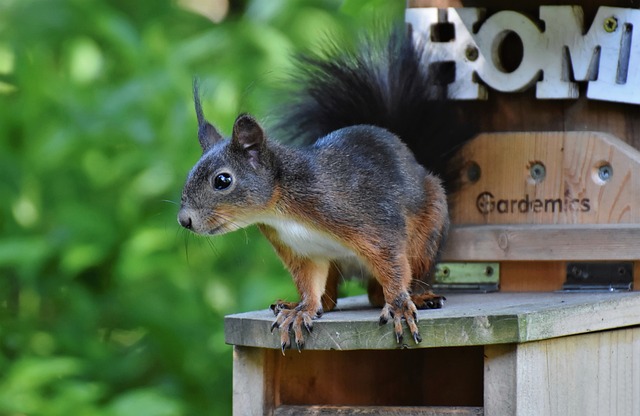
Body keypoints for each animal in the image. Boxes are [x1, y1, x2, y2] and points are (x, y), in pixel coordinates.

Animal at [178, 25, 471, 352]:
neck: (282, 207)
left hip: (426, 238)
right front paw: (302, 309)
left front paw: (399, 307)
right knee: (330, 299)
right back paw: (290, 305)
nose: (184, 220)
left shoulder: (370, 220)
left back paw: (419, 297)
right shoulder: (302, 252)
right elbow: (310, 284)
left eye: (222, 181)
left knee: (392, 284)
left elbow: (392, 263)